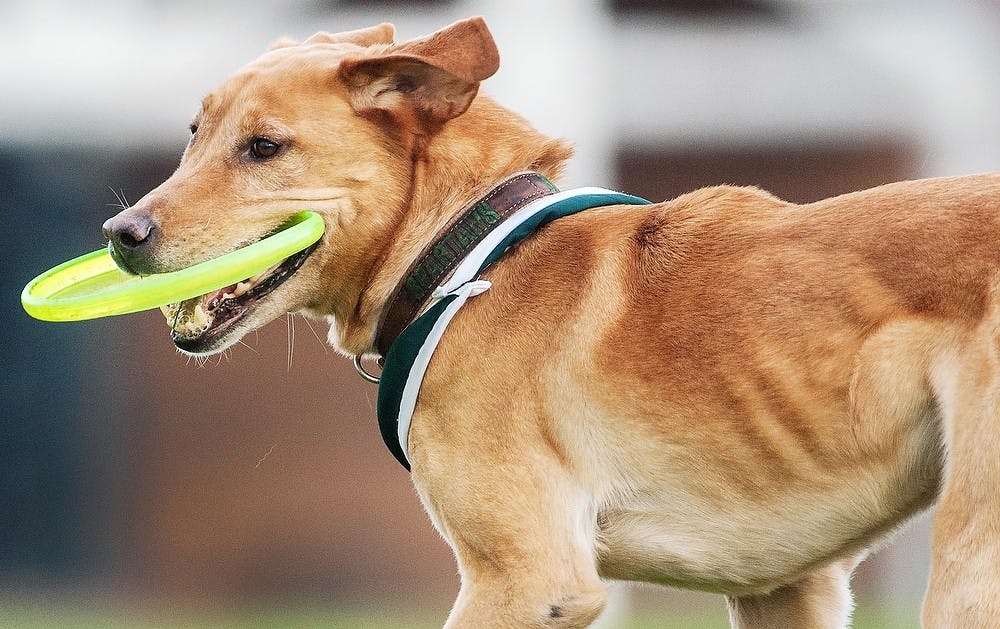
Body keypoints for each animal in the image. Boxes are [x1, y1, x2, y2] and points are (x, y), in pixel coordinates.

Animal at [101, 17, 1000, 624]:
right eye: (194, 133)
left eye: (264, 148)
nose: (120, 235)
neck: (467, 253)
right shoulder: (787, 585)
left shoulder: (529, 582)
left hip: (967, 566)